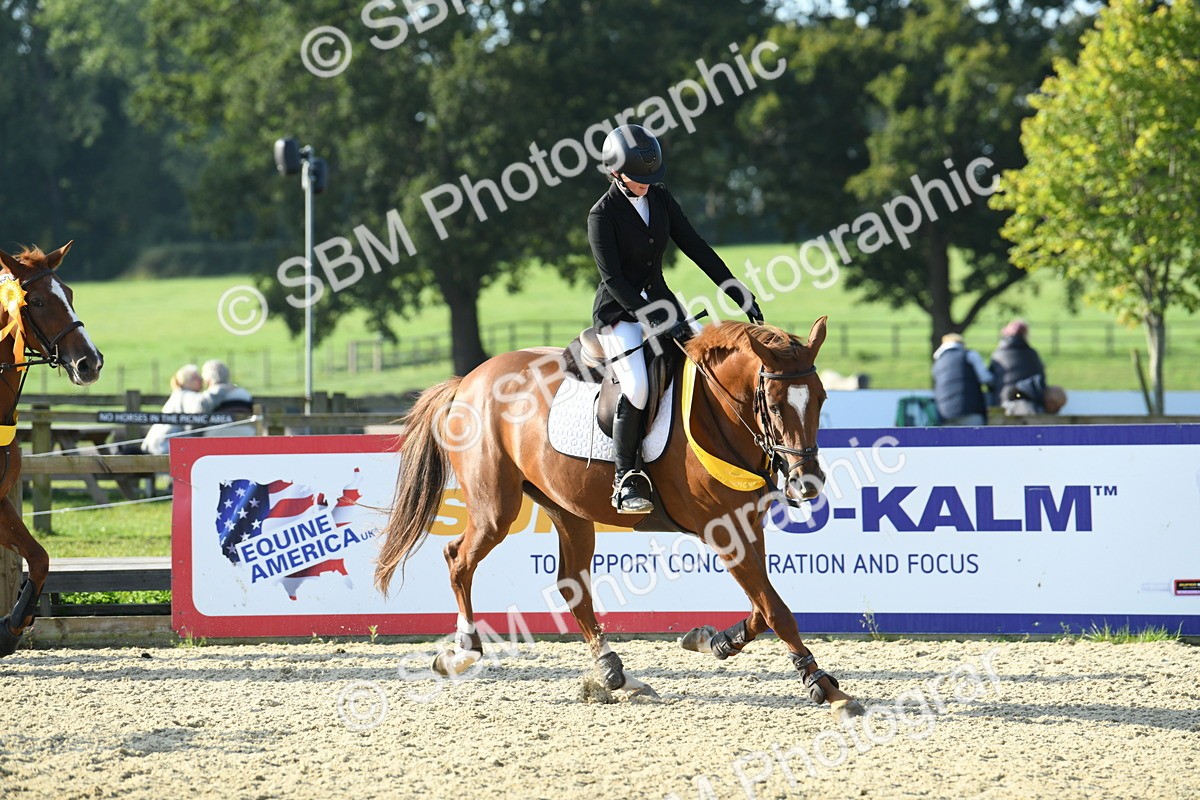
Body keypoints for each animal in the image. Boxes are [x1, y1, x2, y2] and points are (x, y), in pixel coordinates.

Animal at [0, 242, 104, 656]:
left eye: (70, 294)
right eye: (38, 300)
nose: (90, 362)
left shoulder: (0, 502)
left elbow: (40, 558)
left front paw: (12, 625)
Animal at [376, 316, 865, 720]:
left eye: (821, 399)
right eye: (777, 405)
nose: (807, 483)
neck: (718, 413)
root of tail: (468, 380)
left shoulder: (745, 525)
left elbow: (762, 608)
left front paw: (712, 640)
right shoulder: (725, 531)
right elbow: (777, 610)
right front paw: (826, 689)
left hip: (567, 509)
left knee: (571, 585)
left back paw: (617, 675)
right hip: (495, 508)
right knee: (458, 558)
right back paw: (461, 653)